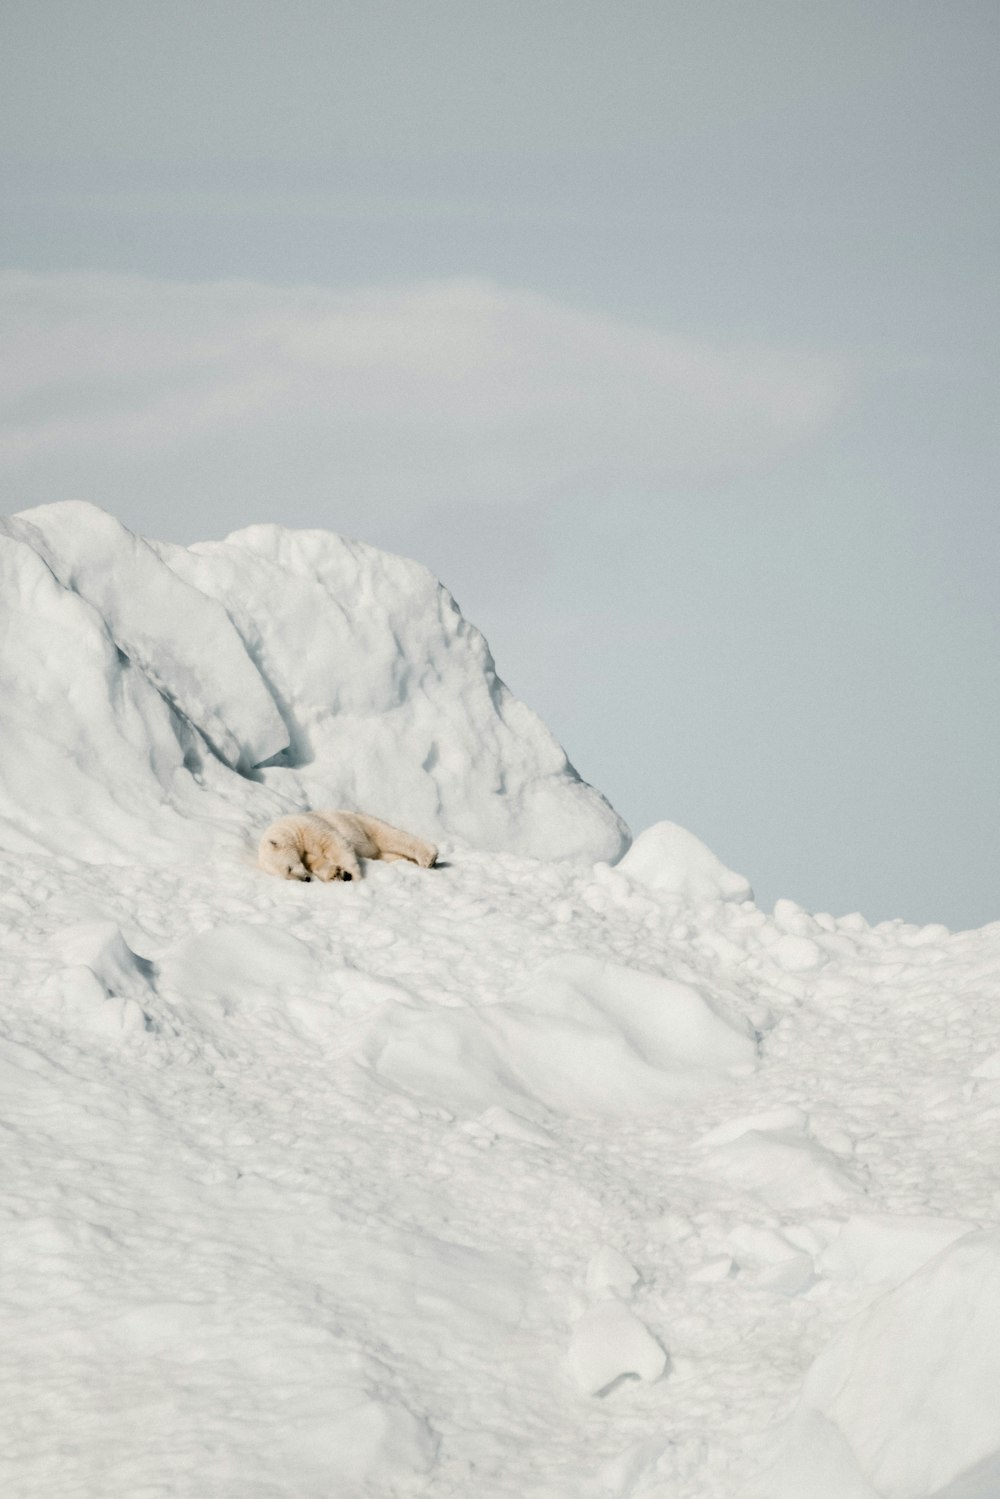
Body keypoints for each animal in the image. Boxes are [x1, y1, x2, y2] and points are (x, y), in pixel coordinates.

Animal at [257, 815, 437, 881]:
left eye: (288, 868)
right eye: (286, 876)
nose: (305, 879)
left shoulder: (308, 826)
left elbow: (333, 842)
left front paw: (352, 875)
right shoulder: (305, 854)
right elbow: (316, 862)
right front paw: (336, 873)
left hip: (363, 824)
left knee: (390, 836)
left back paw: (428, 856)